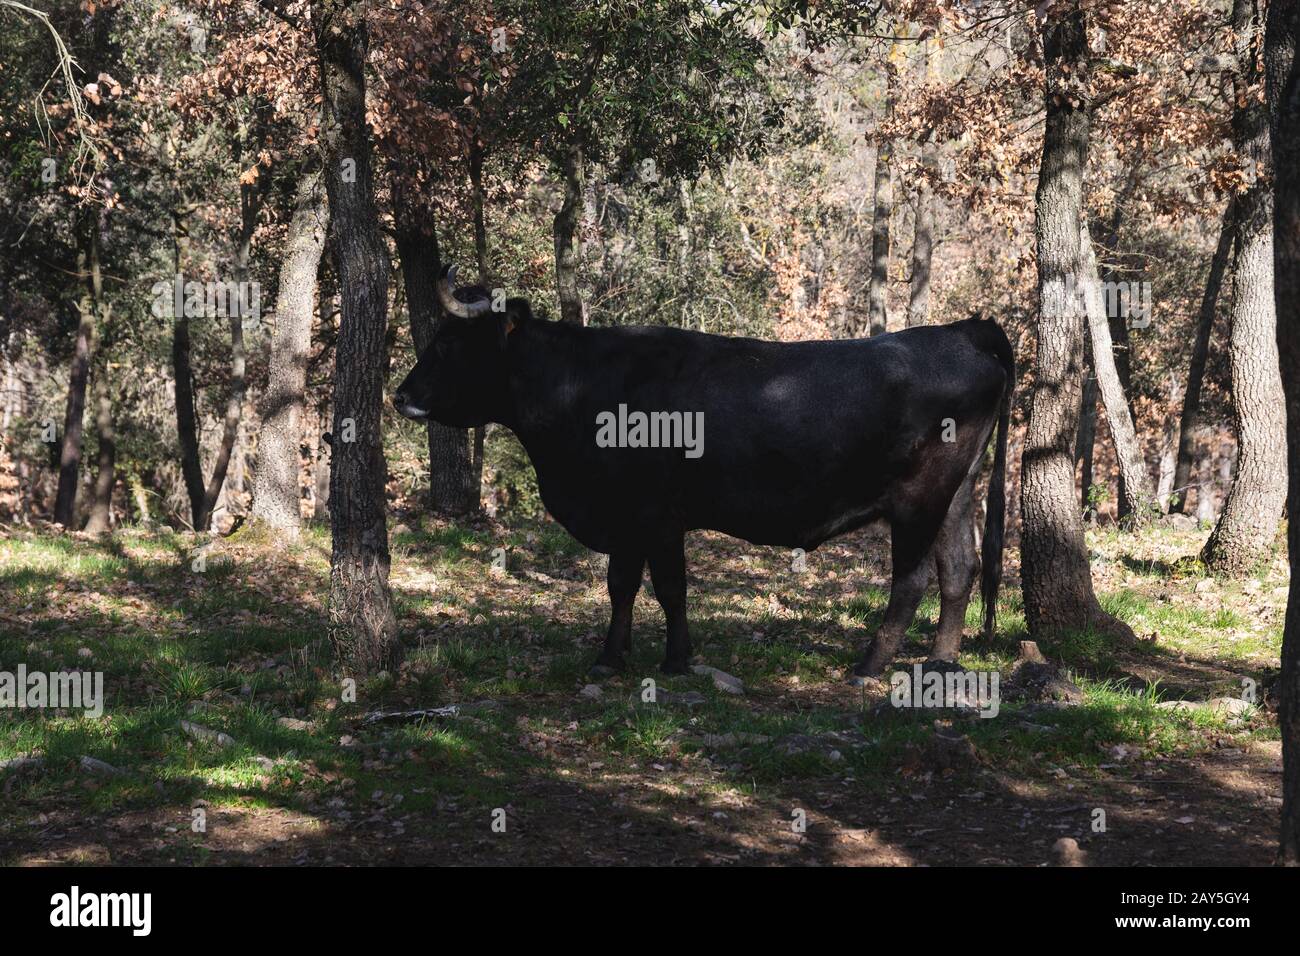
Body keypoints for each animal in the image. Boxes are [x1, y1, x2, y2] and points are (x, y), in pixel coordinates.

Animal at [395, 265, 1013, 676]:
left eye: (448, 343)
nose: (400, 396)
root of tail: (962, 329)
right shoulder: (626, 518)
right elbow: (621, 585)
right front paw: (611, 657)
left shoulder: (658, 514)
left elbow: (670, 587)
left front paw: (675, 660)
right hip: (957, 492)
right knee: (960, 568)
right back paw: (940, 662)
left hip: (918, 499)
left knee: (912, 579)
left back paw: (870, 664)